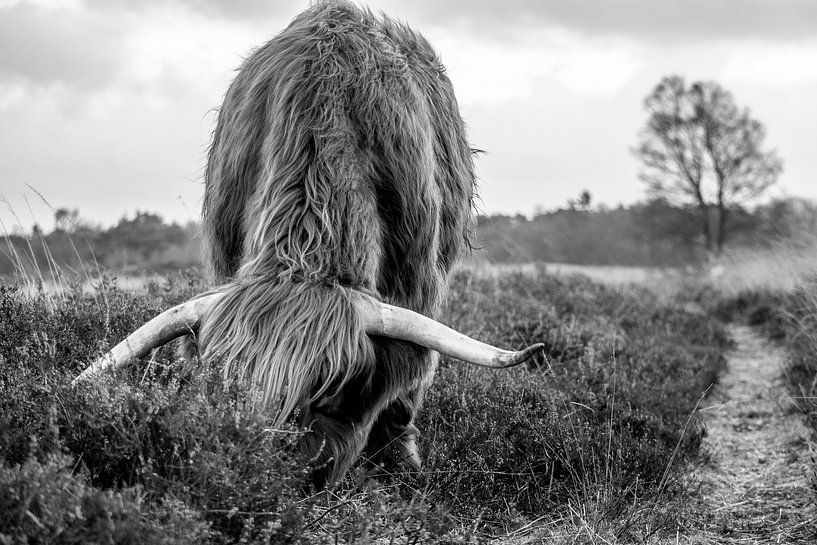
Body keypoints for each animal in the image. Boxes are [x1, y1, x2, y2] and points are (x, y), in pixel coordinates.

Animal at [78, 0, 540, 484]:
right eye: (225, 388)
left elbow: (406, 378)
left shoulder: (418, 279)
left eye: (325, 392)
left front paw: (399, 465)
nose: (258, 468)